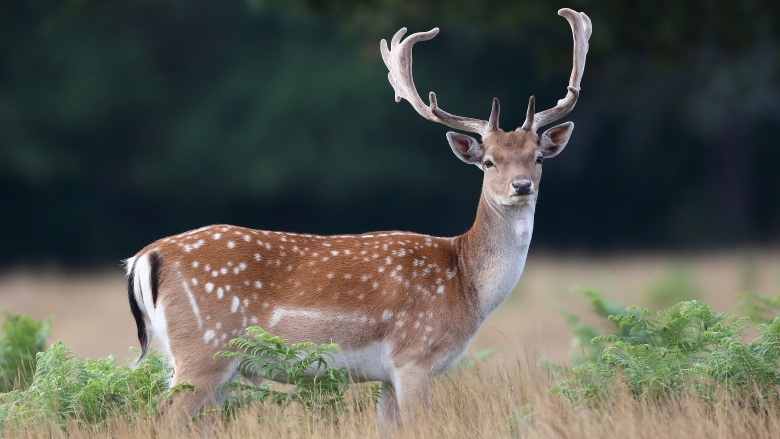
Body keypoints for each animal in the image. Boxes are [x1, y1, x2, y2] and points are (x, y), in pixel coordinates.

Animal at [125, 6, 592, 426]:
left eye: (538, 158)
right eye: (489, 161)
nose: (522, 186)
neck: (466, 284)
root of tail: (144, 258)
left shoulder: (386, 376)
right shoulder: (414, 356)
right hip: (202, 349)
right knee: (160, 418)